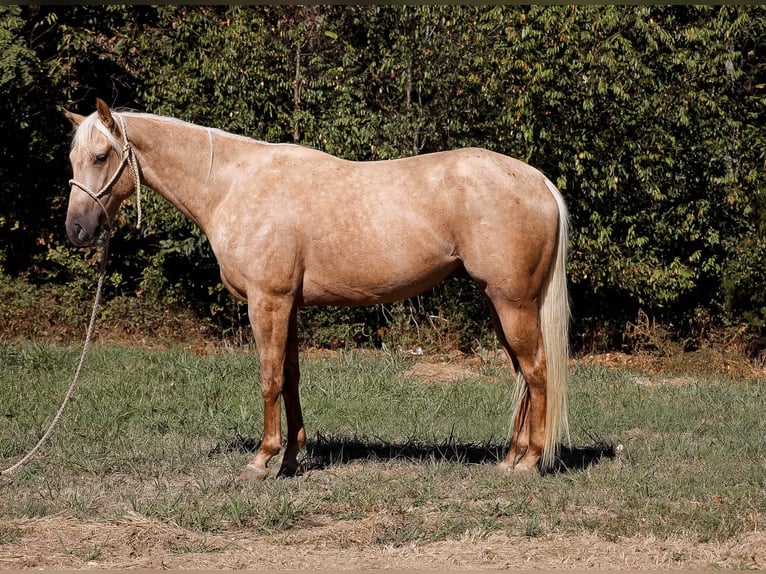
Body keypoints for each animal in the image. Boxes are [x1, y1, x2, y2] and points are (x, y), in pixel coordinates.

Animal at [64, 98, 570, 478]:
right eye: (73, 159)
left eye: (101, 156)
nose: (77, 229)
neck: (232, 185)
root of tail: (540, 182)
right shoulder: (288, 306)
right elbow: (290, 379)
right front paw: (290, 459)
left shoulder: (267, 303)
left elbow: (269, 378)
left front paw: (262, 460)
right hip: (501, 304)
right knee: (522, 375)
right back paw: (509, 459)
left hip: (513, 303)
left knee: (537, 371)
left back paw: (529, 462)